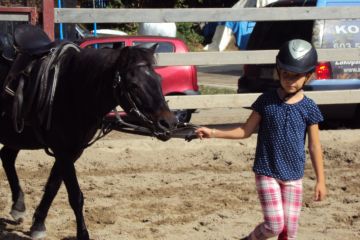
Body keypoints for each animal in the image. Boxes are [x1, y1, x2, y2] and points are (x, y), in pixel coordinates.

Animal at [0, 24, 177, 240]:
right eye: (134, 85)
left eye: (159, 79)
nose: (168, 123)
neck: (70, 87)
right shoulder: (63, 151)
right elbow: (75, 195)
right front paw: (82, 233)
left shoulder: (73, 151)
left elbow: (53, 187)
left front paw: (38, 224)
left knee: (7, 157)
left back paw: (18, 205)